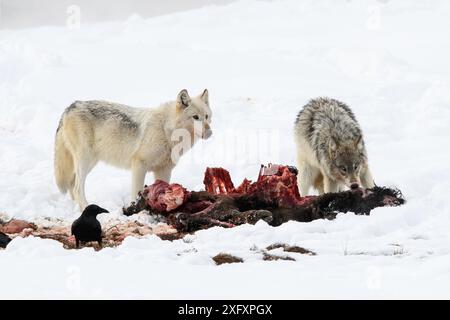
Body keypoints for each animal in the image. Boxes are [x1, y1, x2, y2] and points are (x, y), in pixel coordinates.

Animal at [54, 89, 213, 210]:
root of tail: (70, 107)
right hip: (85, 160)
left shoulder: (164, 170)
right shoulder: (139, 165)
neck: (166, 130)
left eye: (206, 116)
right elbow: (137, 191)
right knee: (77, 188)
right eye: (195, 117)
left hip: (90, 162)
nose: (209, 132)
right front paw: (135, 210)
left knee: (72, 185)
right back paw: (86, 208)